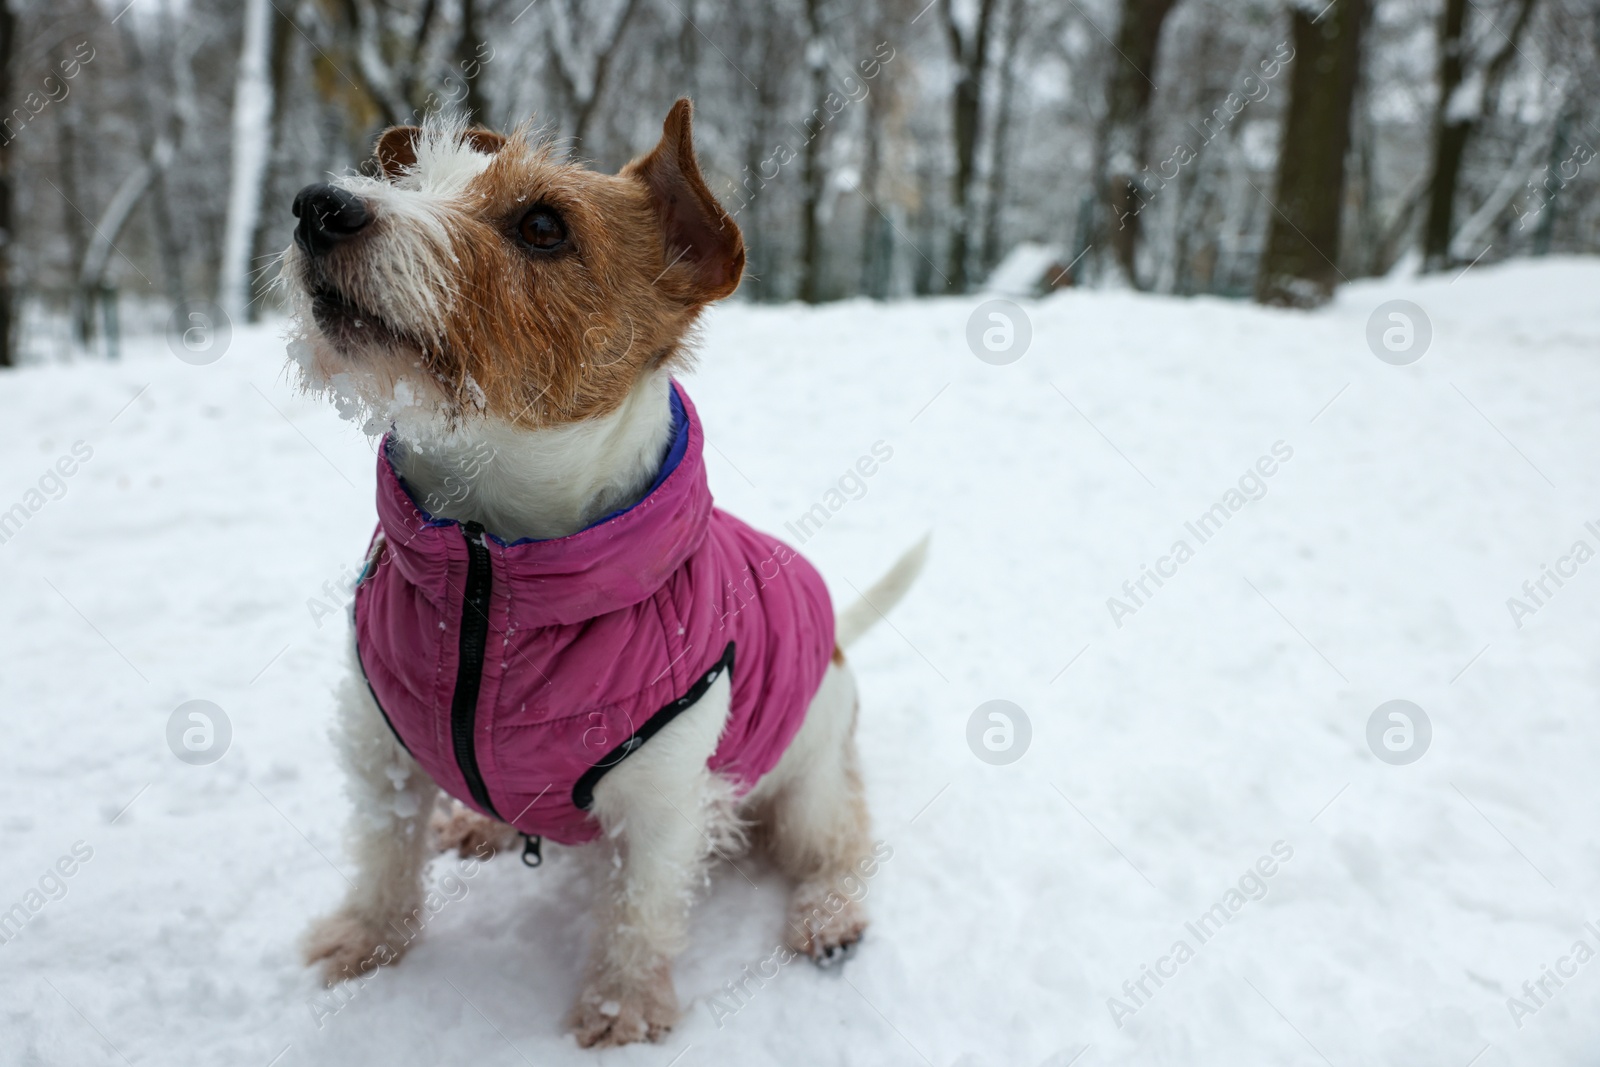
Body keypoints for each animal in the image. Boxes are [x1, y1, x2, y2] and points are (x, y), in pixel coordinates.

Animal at [281, 102, 921, 1049]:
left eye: (543, 226)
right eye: (407, 178)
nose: (320, 206)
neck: (490, 569)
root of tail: (838, 639)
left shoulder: (666, 804)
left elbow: (639, 911)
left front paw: (621, 1011)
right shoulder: (381, 750)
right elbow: (384, 857)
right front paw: (367, 940)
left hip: (808, 780)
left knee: (842, 841)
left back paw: (828, 914)